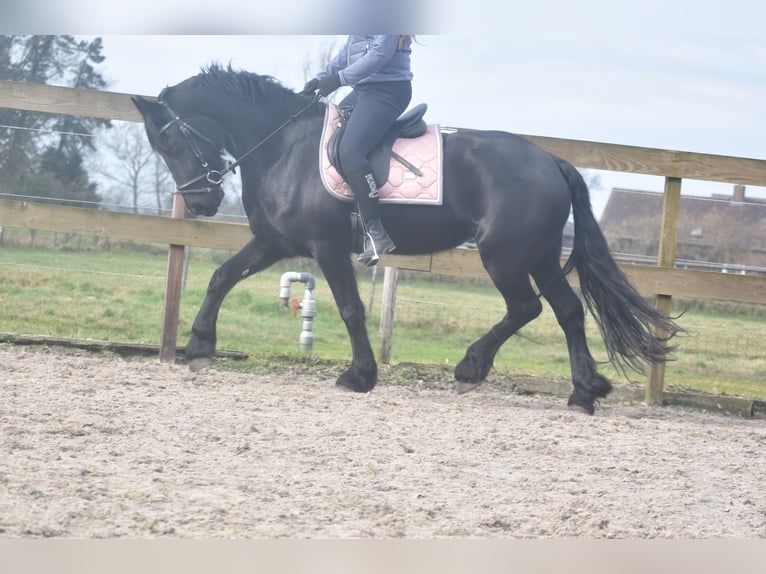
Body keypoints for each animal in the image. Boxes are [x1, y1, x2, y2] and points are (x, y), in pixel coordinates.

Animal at [134, 64, 684, 414]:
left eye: (168, 140)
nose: (200, 203)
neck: (282, 147)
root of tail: (551, 160)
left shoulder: (326, 248)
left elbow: (350, 308)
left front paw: (359, 376)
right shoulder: (275, 242)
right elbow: (222, 277)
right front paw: (199, 347)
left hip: (503, 255)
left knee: (526, 308)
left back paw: (471, 369)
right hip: (540, 255)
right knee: (567, 311)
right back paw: (583, 392)